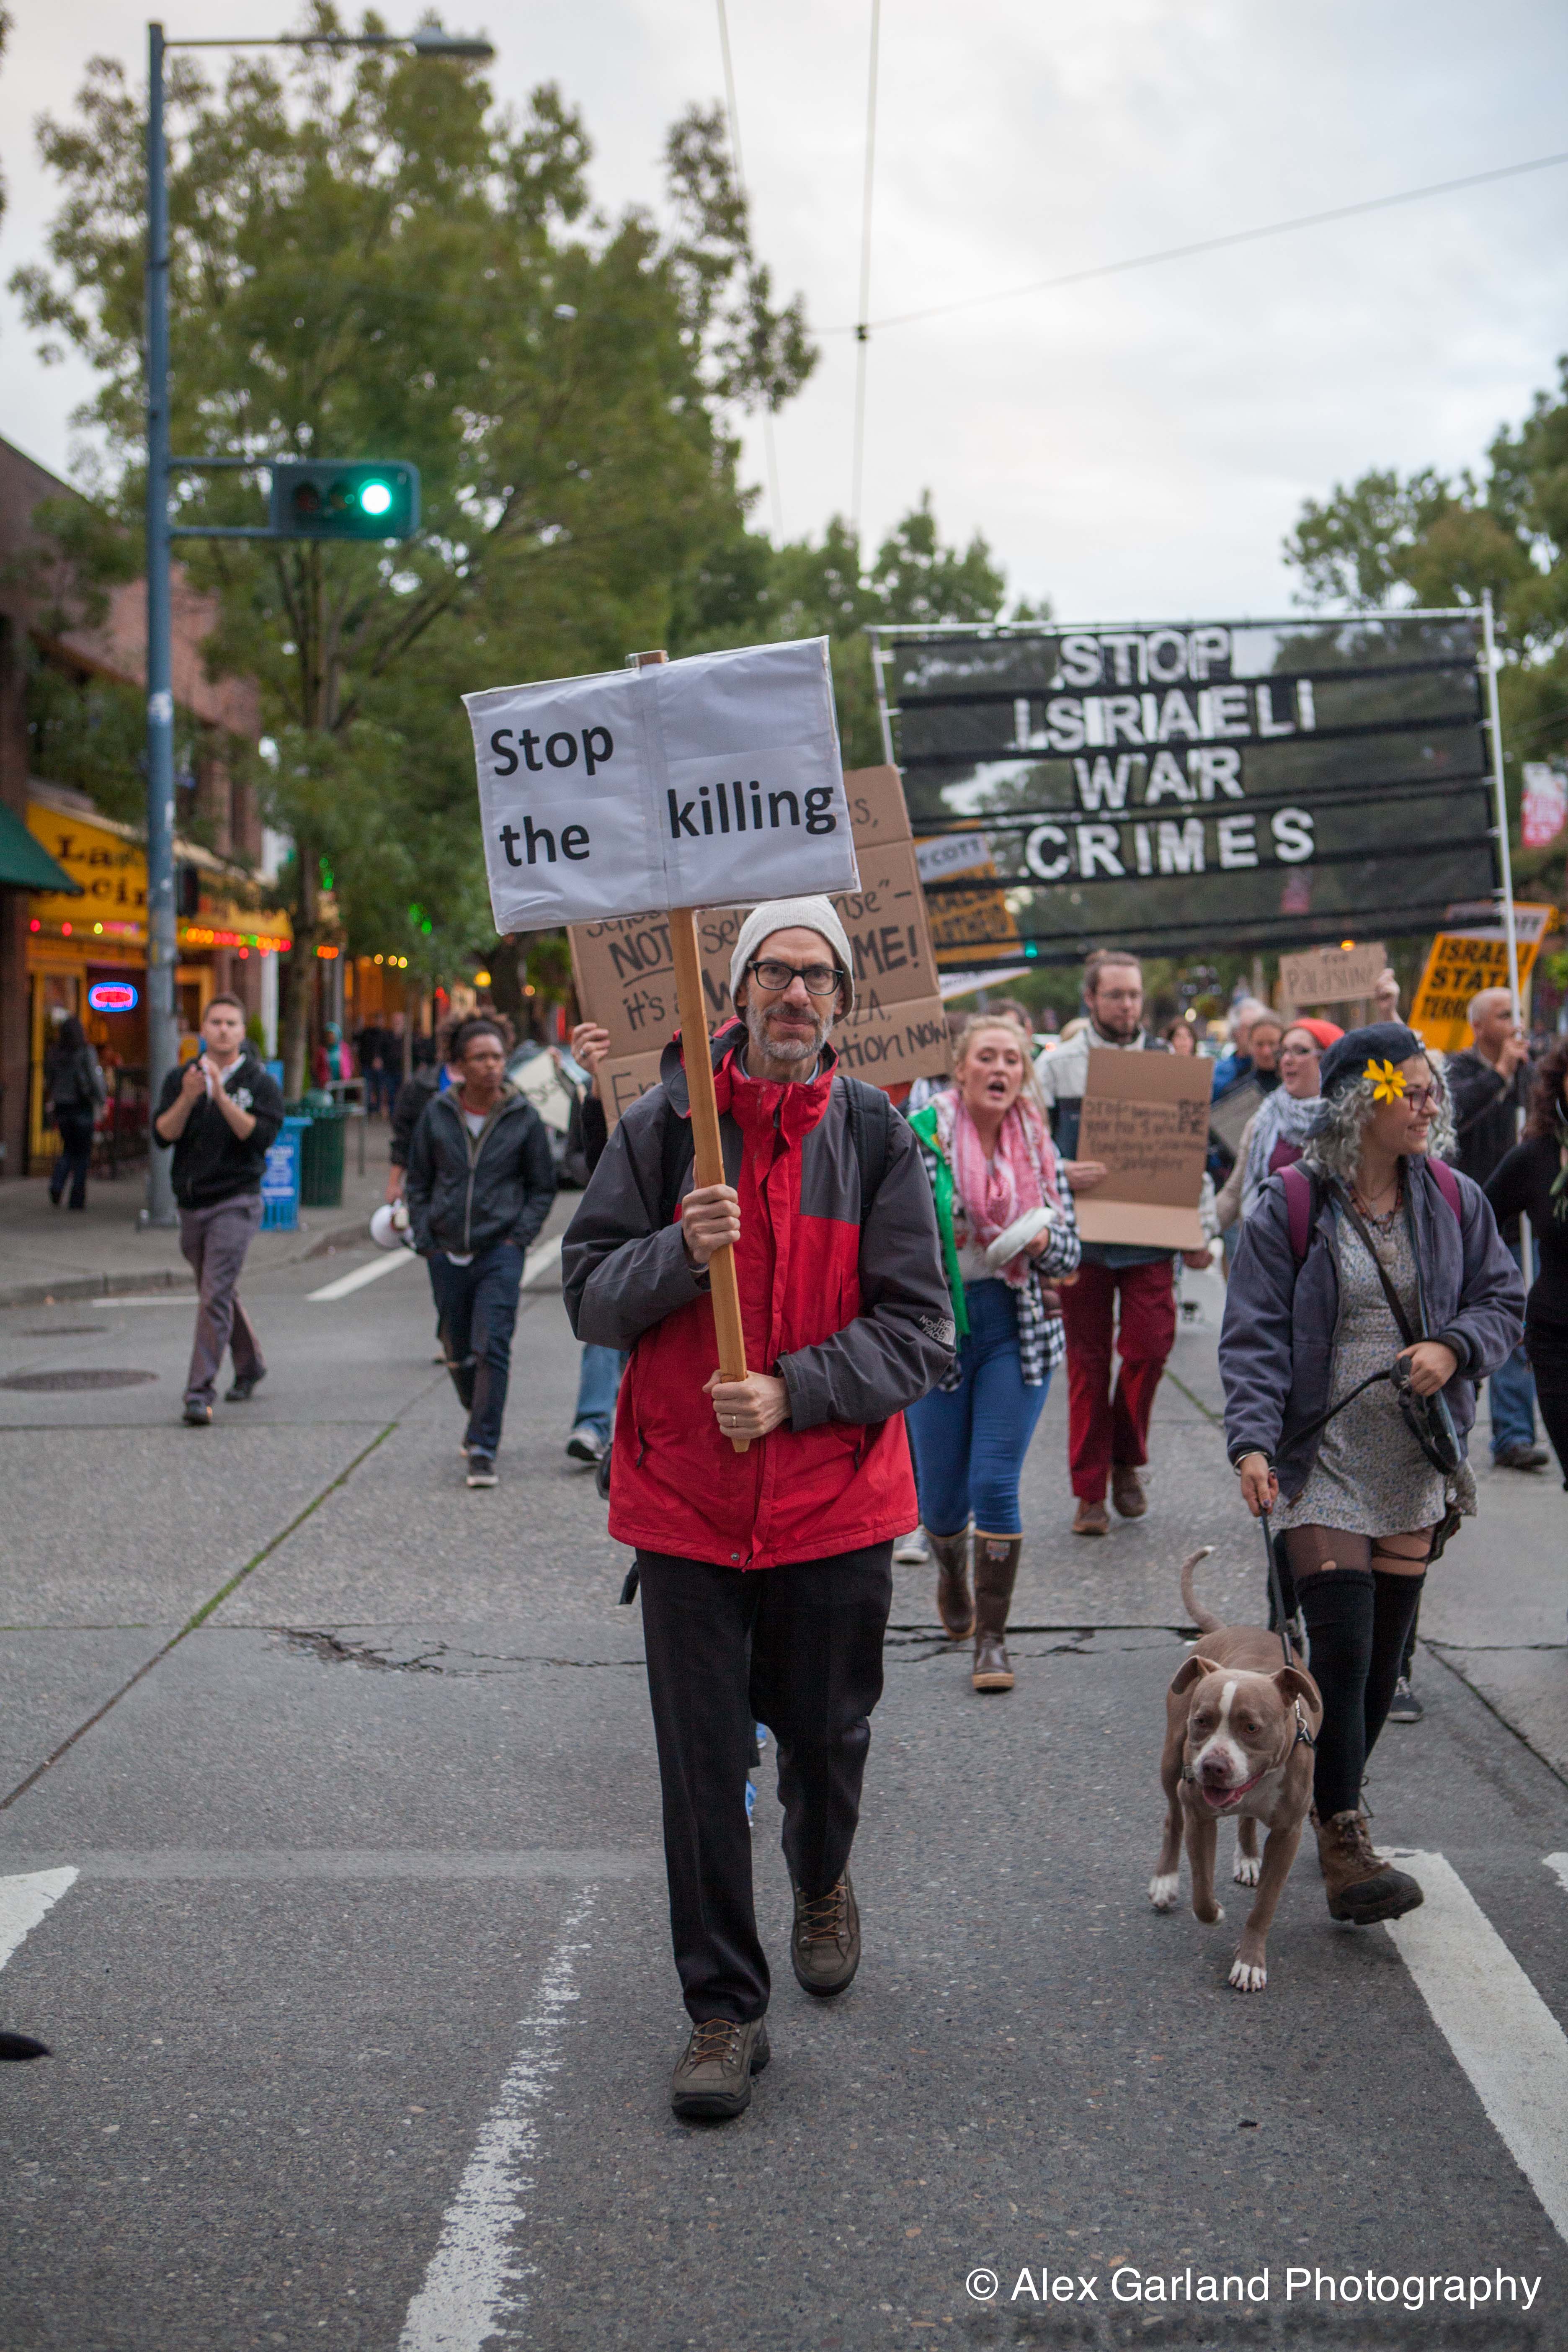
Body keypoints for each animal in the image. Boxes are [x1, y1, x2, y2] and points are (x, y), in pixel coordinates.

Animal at [1149, 1547, 1323, 1993]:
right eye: (1202, 1721)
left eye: (1251, 1727)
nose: (1212, 1766)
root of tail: (1225, 1630)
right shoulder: (1199, 1813)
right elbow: (1202, 1891)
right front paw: (1212, 1911)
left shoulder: (1288, 1833)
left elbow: (1265, 1906)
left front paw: (1250, 1962)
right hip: (1171, 1762)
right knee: (1171, 1818)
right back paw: (1165, 1881)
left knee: (1247, 1819)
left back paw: (1247, 1856)